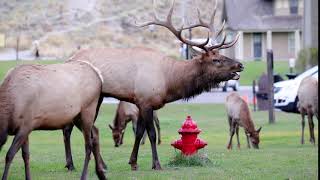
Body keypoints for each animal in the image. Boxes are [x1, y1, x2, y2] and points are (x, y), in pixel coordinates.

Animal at [67, 0, 242, 171]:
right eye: (216, 60)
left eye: (221, 55)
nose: (240, 65)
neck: (169, 82)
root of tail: (68, 59)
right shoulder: (146, 101)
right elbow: (151, 134)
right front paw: (156, 164)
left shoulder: (141, 102)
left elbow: (139, 132)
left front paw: (133, 162)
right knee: (73, 127)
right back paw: (74, 165)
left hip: (98, 97)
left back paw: (93, 164)